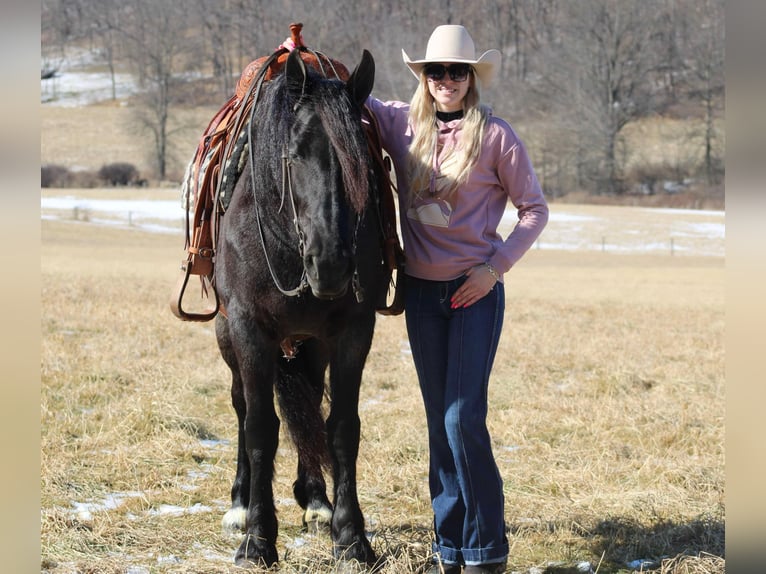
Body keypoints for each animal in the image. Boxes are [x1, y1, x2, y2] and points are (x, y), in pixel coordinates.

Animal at [213, 47, 388, 568]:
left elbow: (342, 428)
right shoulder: (249, 329)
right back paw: (239, 504)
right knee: (240, 406)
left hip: (310, 345)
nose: (330, 263)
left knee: (308, 402)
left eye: (361, 162)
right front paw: (258, 538)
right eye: (294, 155)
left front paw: (351, 537)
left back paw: (316, 501)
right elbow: (259, 428)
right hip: (228, 338)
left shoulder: (353, 332)